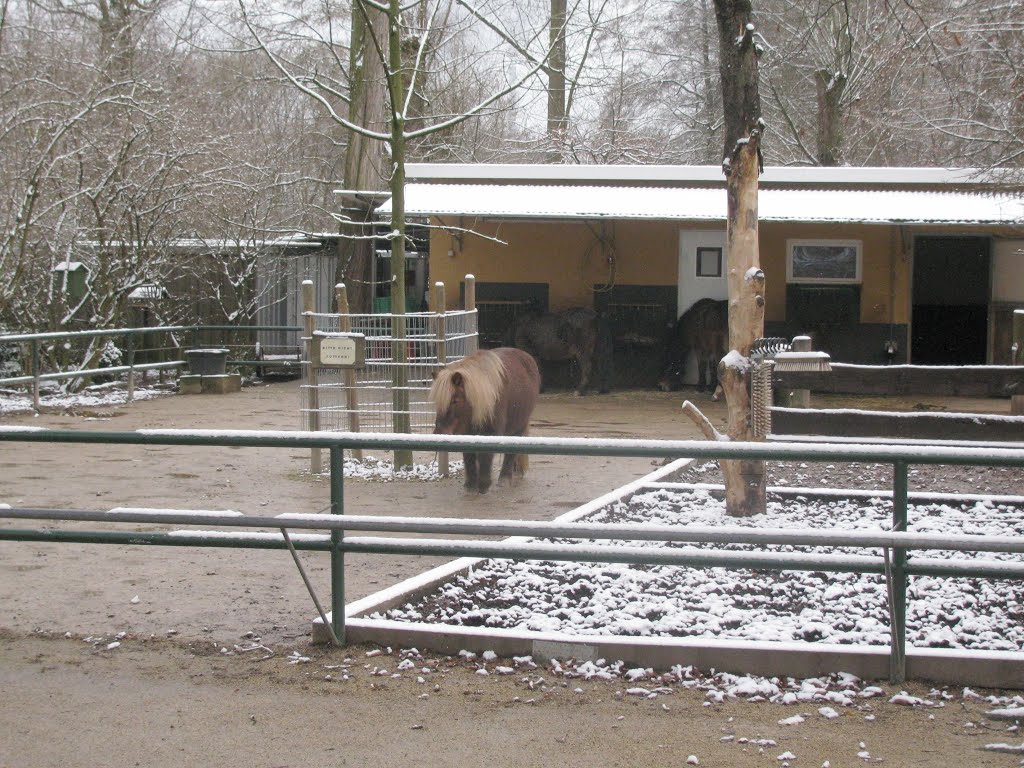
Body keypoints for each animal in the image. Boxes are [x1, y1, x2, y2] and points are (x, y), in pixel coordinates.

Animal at [430, 348, 544, 493]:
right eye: (437, 402)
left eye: (455, 400)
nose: (439, 432)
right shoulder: (466, 433)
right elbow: (469, 457)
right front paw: (471, 485)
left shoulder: (490, 432)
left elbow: (486, 456)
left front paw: (484, 485)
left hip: (519, 426)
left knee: (510, 454)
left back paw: (504, 480)